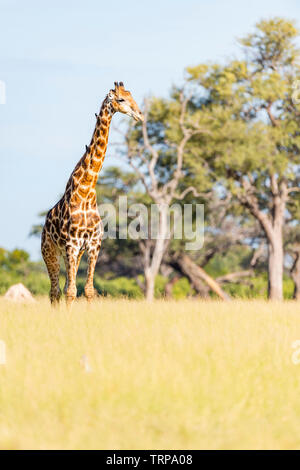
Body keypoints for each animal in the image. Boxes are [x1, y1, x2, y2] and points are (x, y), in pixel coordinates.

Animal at [41, 81, 144, 304]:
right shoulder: (71, 245)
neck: (85, 191)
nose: (140, 115)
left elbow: (88, 290)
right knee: (55, 292)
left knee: (62, 288)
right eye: (121, 99)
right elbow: (72, 292)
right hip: (50, 251)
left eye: (132, 96)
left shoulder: (92, 245)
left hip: (72, 255)